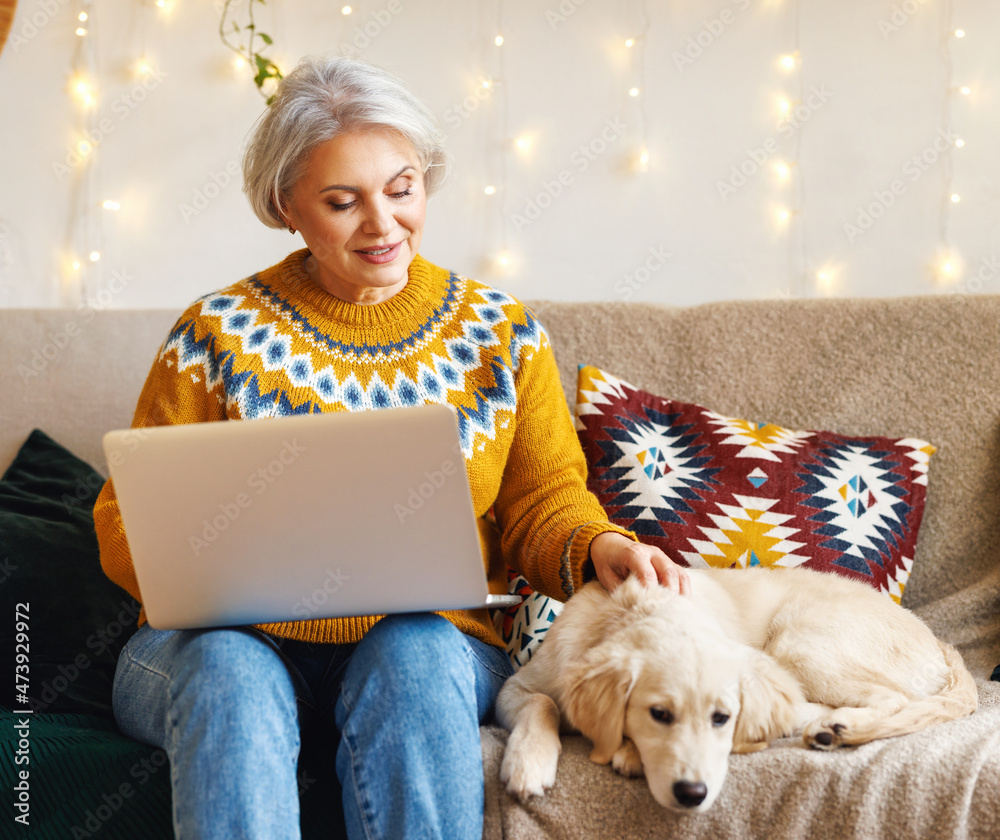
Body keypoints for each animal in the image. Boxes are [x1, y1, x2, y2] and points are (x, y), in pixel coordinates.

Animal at [496, 568, 980, 812]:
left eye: (721, 719)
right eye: (659, 714)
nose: (692, 794)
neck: (634, 608)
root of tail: (938, 641)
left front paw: (626, 752)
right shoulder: (516, 686)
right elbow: (542, 702)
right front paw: (529, 761)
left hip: (799, 642)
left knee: (893, 700)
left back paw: (836, 726)